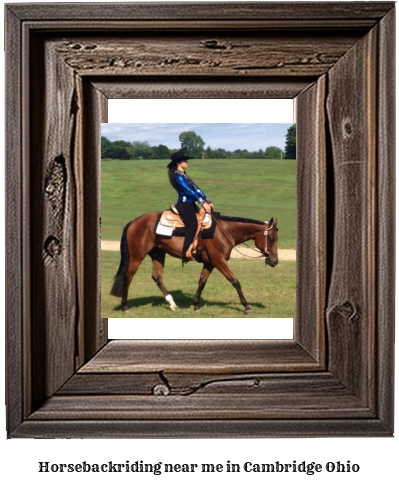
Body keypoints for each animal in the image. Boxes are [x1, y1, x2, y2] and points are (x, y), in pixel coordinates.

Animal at [109, 212, 278, 314]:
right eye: (271, 239)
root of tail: (134, 221)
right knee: (128, 277)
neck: (223, 232)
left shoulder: (209, 263)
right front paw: (246, 306)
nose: (275, 261)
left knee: (157, 277)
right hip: (136, 256)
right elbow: (235, 281)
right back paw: (125, 306)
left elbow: (201, 282)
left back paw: (172, 304)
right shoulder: (219, 261)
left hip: (158, 254)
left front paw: (196, 305)